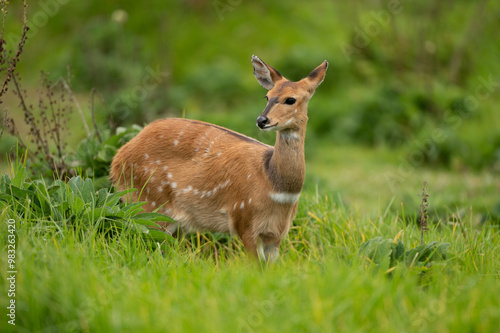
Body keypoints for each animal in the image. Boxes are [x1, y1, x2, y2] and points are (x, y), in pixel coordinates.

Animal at [110, 55, 328, 260]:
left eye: (291, 99)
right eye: (267, 96)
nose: (262, 120)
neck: (277, 186)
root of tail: (117, 159)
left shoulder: (277, 234)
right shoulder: (244, 220)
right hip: (149, 203)